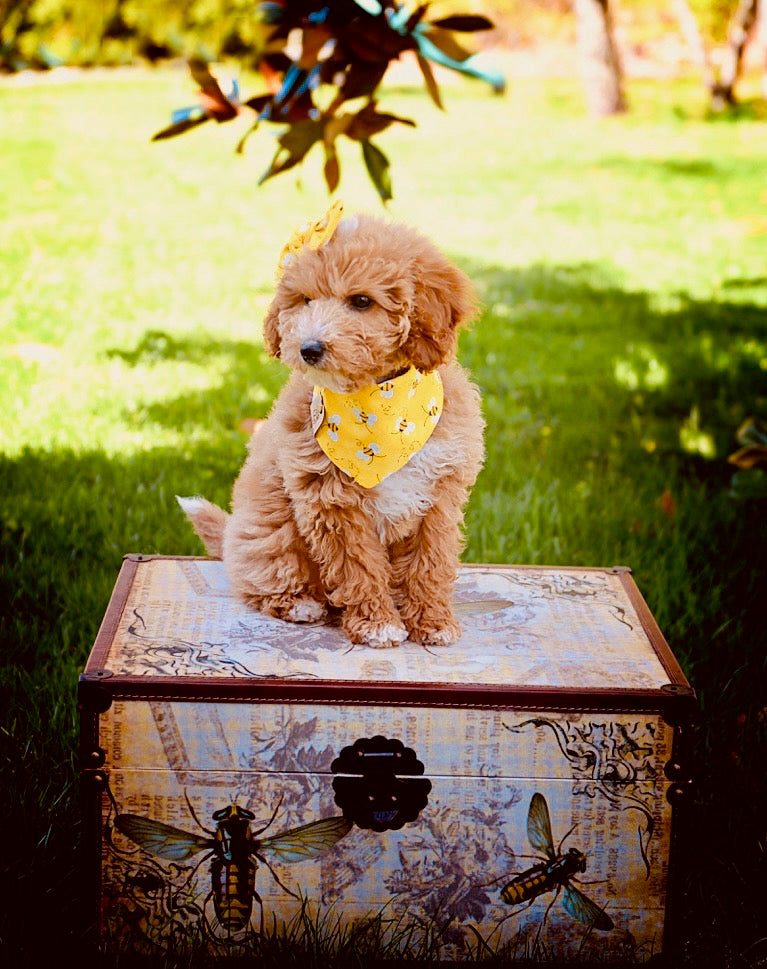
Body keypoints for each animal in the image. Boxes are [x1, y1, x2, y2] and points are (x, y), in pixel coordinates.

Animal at [177, 202, 484, 644]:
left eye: (362, 301)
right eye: (305, 300)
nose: (309, 348)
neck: (380, 407)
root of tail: (231, 535)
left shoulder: (439, 494)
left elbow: (430, 561)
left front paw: (432, 621)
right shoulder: (331, 501)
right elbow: (358, 566)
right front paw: (378, 624)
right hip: (269, 535)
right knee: (262, 579)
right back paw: (300, 604)